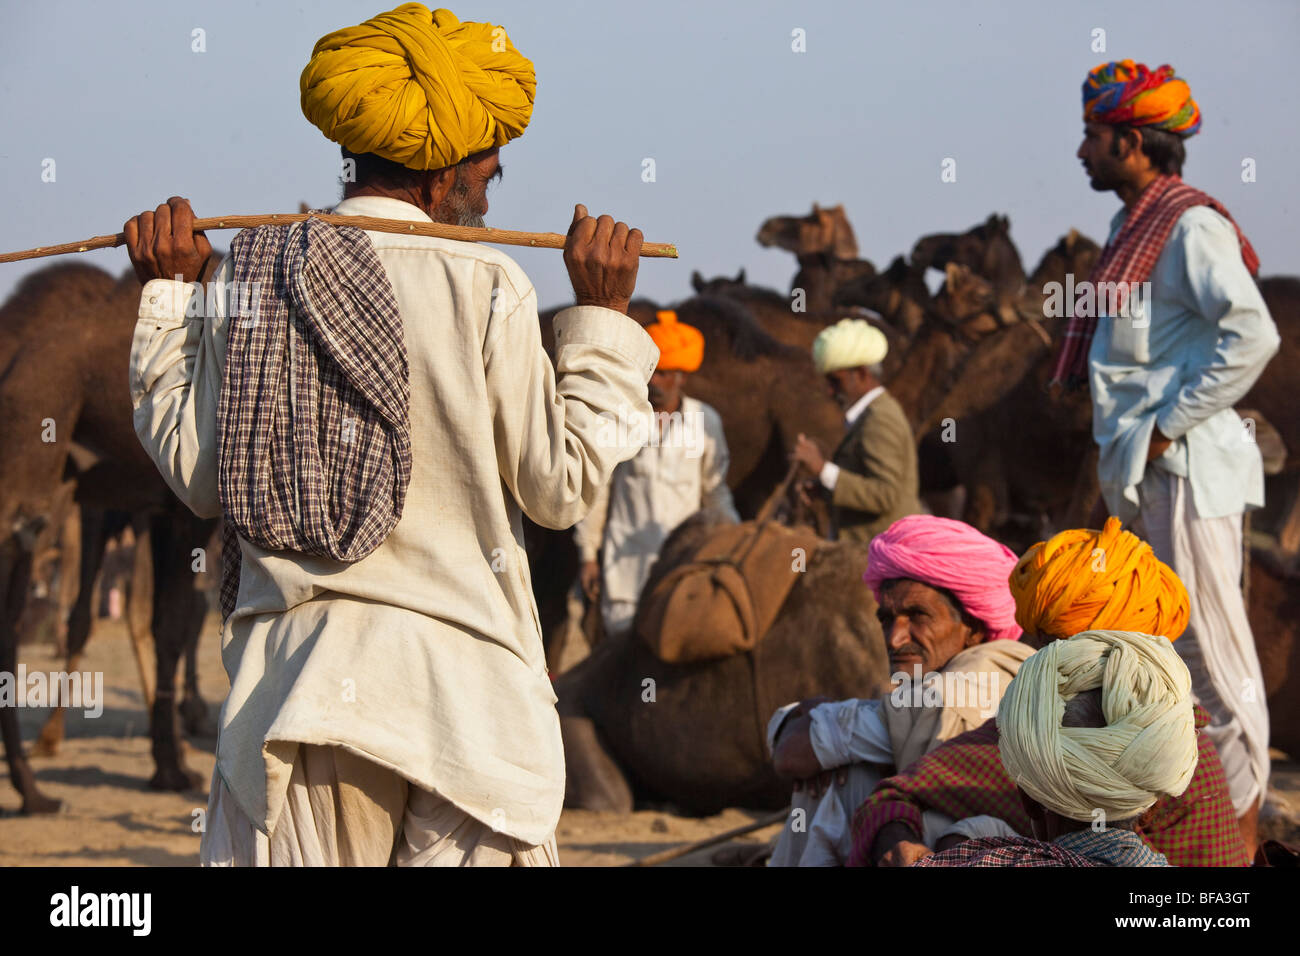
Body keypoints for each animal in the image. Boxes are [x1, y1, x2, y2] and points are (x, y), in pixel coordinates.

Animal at [0, 261, 218, 816]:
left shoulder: (160, 509)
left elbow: (165, 622)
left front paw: (168, 762)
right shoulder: (187, 511)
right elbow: (176, 622)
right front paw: (174, 766)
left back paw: (32, 787)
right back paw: (34, 784)